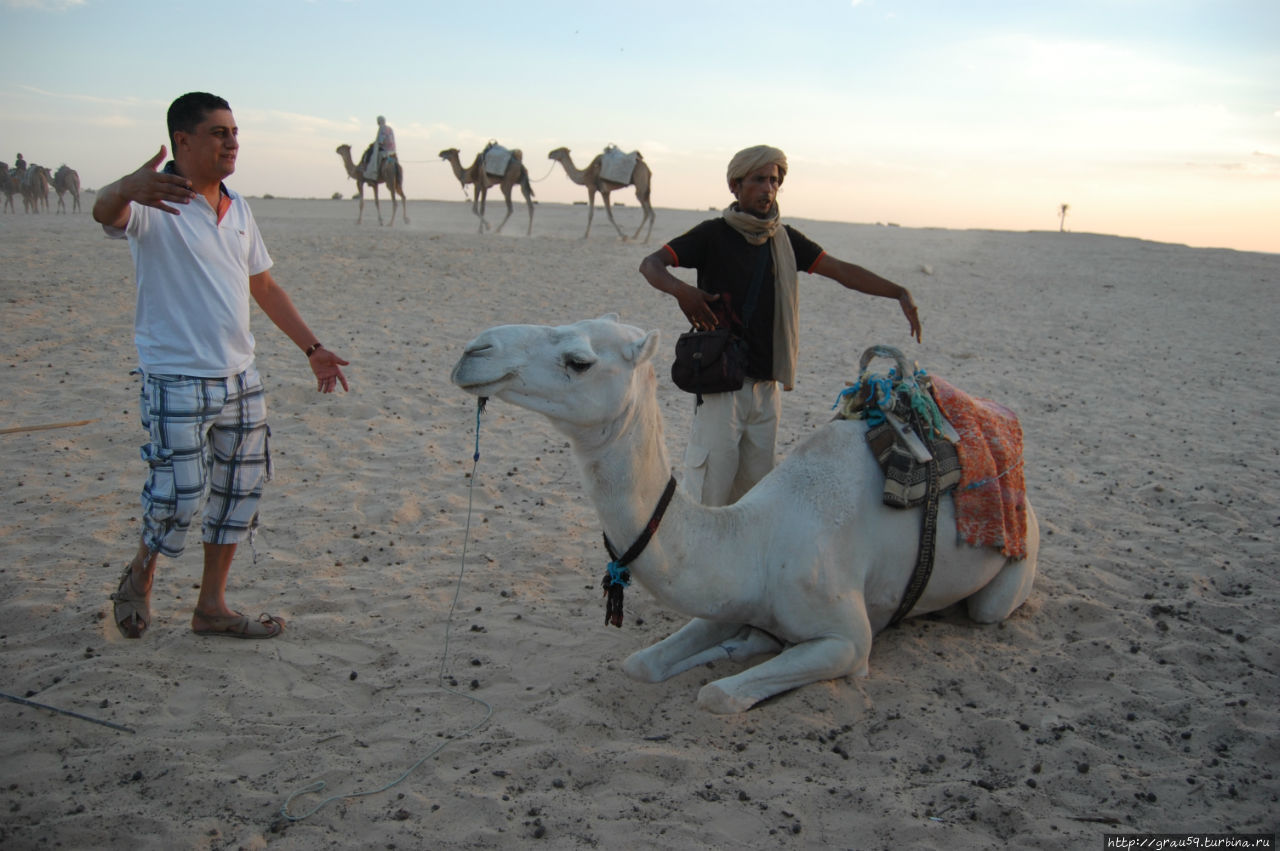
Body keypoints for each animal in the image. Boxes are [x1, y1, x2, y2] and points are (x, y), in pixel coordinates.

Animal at [450, 313, 1039, 711]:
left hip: (1011, 572)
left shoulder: (850, 641)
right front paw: (738, 643)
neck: (755, 541)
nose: (473, 350)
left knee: (988, 609)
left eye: (579, 360)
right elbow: (640, 662)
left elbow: (719, 697)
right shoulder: (729, 599)